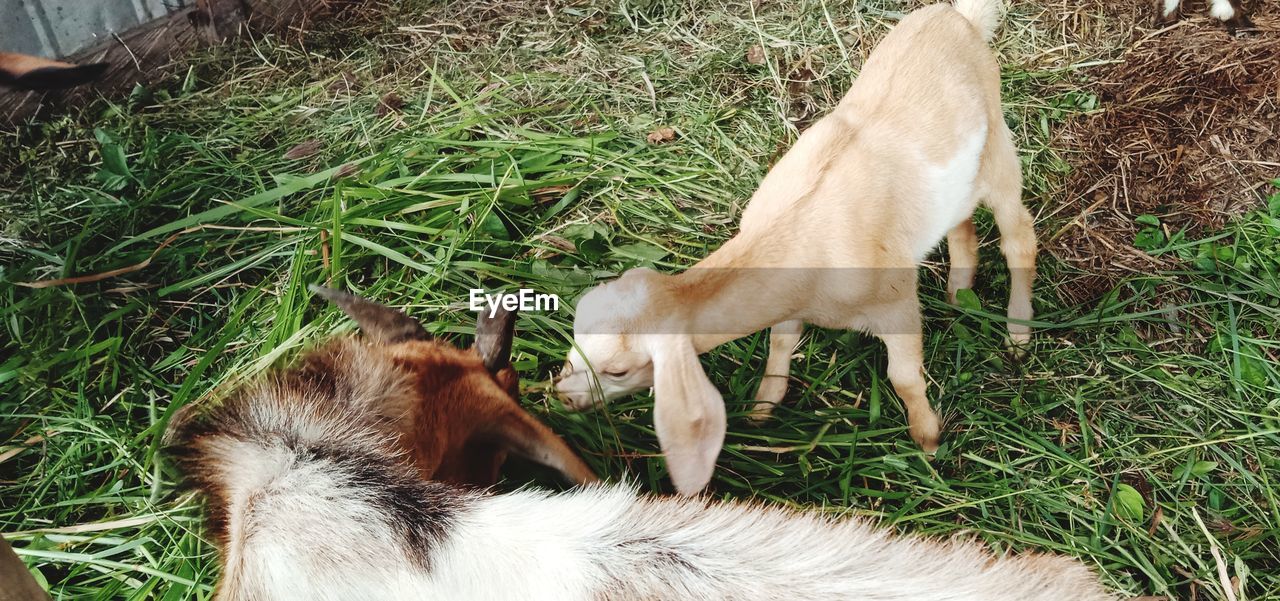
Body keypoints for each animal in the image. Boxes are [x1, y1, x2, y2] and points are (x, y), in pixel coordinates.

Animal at [555, 0, 1034, 496]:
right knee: (961, 224)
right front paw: (763, 407)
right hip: (958, 181)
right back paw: (960, 291)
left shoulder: (895, 300)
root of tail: (956, 17)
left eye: (619, 371)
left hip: (998, 148)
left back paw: (1018, 331)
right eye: (575, 342)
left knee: (1020, 237)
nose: (562, 396)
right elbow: (781, 343)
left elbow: (903, 379)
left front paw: (928, 438)